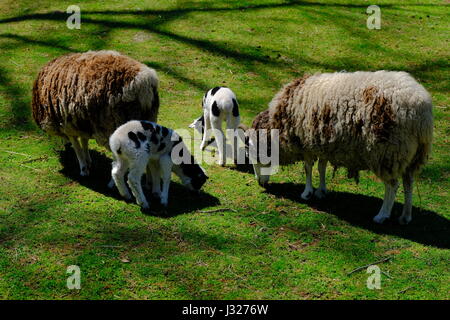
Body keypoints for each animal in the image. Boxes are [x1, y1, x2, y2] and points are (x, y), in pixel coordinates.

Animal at [248, 70, 434, 225]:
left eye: (256, 155)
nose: (260, 183)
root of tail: (421, 111)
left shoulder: (306, 143)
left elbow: (308, 169)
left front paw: (307, 192)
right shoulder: (321, 143)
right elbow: (321, 167)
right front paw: (321, 191)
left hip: (388, 153)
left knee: (392, 186)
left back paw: (382, 215)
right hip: (411, 155)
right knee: (408, 183)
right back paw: (405, 217)